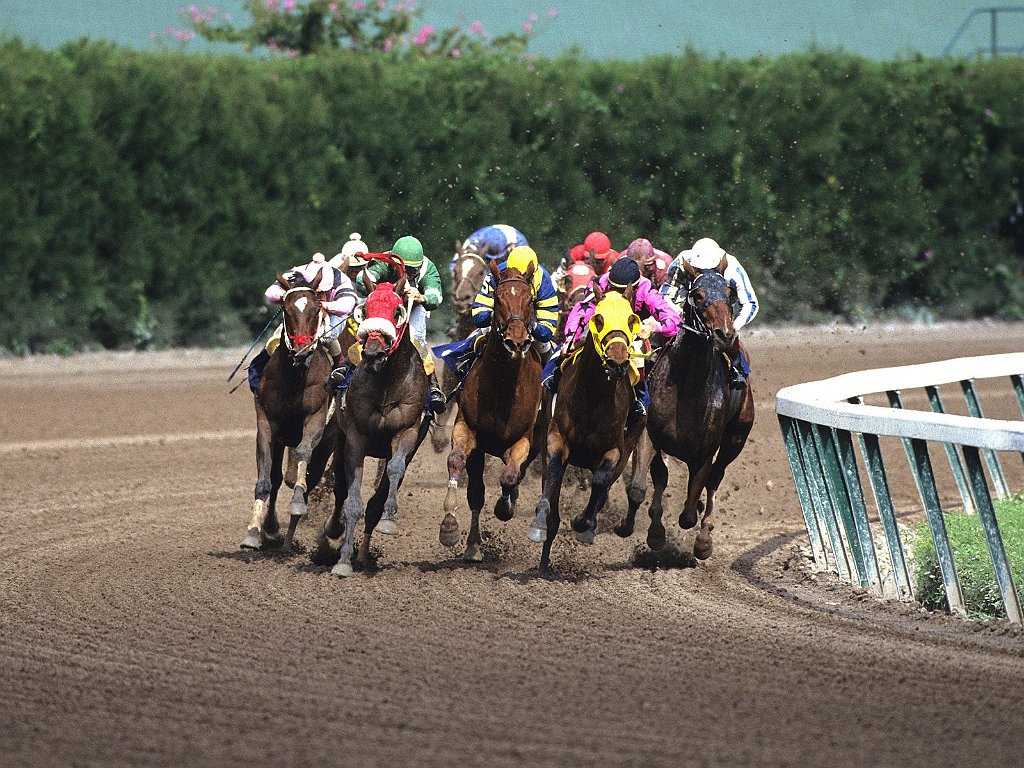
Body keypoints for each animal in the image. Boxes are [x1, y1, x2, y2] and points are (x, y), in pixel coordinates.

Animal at [241, 274, 333, 557]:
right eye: (286, 309)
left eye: (317, 308)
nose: (302, 353)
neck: (295, 378)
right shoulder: (267, 423)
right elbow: (266, 479)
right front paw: (254, 532)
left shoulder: (316, 417)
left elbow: (302, 454)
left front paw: (296, 506)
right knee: (277, 477)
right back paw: (273, 530)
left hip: (329, 443)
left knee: (310, 479)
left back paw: (290, 539)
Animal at [311, 278, 428, 577]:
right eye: (365, 309)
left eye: (397, 311)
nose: (373, 354)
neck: (386, 383)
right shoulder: (355, 439)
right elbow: (352, 501)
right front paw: (343, 561)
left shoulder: (407, 432)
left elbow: (394, 471)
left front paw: (389, 520)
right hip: (340, 439)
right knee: (340, 488)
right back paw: (336, 531)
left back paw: (364, 553)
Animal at [438, 262, 544, 561]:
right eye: (497, 298)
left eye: (530, 300)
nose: (516, 342)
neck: (503, 385)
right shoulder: (467, 430)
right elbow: (457, 463)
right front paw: (450, 527)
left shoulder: (523, 440)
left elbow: (509, 476)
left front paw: (504, 508)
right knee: (477, 491)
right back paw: (473, 544)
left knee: (517, 476)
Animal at [528, 286, 647, 573]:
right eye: (598, 319)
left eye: (631, 319)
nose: (617, 363)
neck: (594, 394)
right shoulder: (556, 438)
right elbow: (554, 471)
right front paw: (540, 523)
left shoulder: (615, 450)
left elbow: (601, 481)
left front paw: (584, 524)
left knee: (604, 487)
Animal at [610, 256, 757, 561]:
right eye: (698, 295)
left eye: (729, 293)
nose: (725, 334)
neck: (688, 384)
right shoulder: (650, 434)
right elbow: (640, 487)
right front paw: (640, 530)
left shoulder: (706, 450)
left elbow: (690, 510)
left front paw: (699, 534)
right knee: (662, 479)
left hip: (735, 439)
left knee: (715, 479)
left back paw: (704, 537)